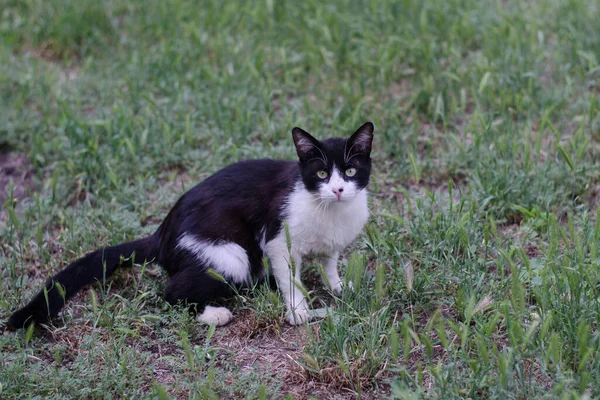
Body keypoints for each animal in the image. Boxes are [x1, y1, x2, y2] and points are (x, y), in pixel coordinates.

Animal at [8, 122, 376, 328]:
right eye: (321, 173)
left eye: (350, 171)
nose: (338, 189)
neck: (329, 211)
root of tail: (162, 233)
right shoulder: (277, 242)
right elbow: (291, 280)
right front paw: (299, 312)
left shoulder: (333, 243)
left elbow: (329, 262)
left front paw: (337, 286)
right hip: (231, 254)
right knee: (172, 292)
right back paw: (215, 314)